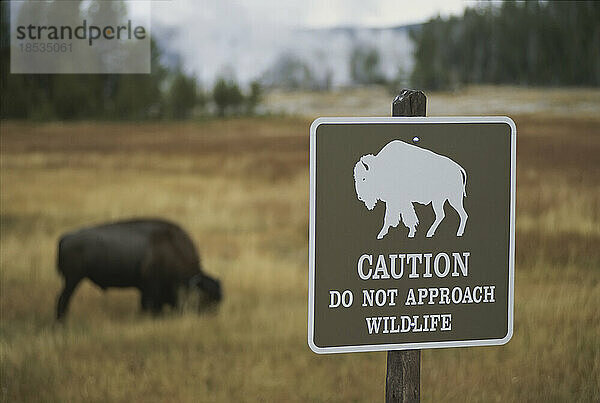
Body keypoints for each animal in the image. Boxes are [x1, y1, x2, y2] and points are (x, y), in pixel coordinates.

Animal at [55, 219, 220, 320]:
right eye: (204, 298)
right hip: (73, 279)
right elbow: (148, 305)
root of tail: (66, 237)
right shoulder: (150, 288)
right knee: (63, 299)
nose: (209, 316)